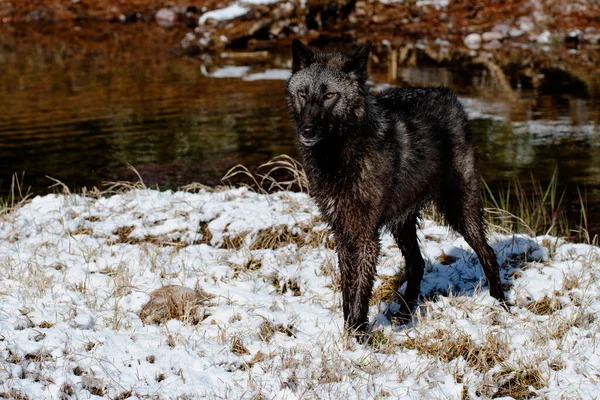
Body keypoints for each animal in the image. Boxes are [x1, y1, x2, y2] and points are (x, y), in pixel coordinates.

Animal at [286, 40, 506, 334]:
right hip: (402, 223)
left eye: (330, 95)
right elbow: (347, 288)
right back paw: (404, 315)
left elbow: (360, 290)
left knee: (487, 252)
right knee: (417, 263)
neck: (339, 159)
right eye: (302, 93)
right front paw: (348, 332)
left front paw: (358, 335)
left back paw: (501, 304)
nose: (307, 131)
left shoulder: (366, 235)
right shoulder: (342, 231)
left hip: (460, 210)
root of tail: (448, 94)